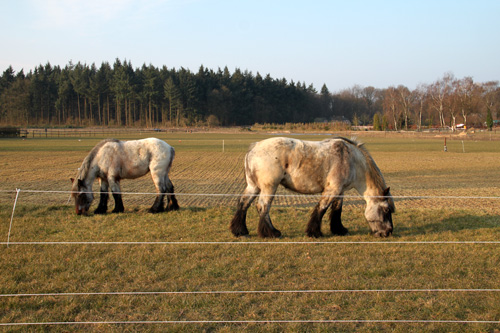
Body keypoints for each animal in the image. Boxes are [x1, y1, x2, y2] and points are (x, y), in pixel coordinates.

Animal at [229, 136, 394, 237]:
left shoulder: (339, 191)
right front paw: (314, 232)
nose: (388, 232)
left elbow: (337, 210)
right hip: (269, 188)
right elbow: (321, 208)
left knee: (243, 203)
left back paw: (240, 230)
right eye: (386, 210)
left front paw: (338, 229)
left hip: (253, 187)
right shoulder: (332, 190)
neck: (351, 159)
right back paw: (271, 233)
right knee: (263, 207)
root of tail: (254, 148)